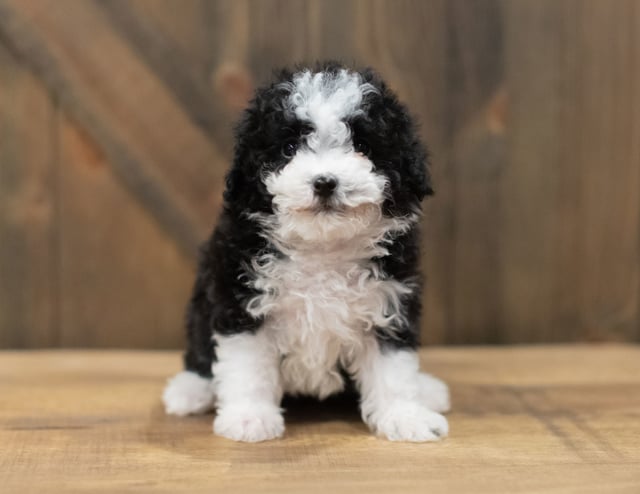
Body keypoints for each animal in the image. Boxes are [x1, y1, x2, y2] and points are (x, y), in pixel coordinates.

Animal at [162, 62, 450, 444]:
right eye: (288, 148)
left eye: (362, 145)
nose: (325, 182)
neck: (322, 247)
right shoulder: (240, 297)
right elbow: (247, 364)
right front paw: (249, 417)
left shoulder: (390, 299)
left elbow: (393, 367)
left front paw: (405, 416)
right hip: (201, 303)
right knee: (199, 349)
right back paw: (190, 390)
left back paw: (427, 389)